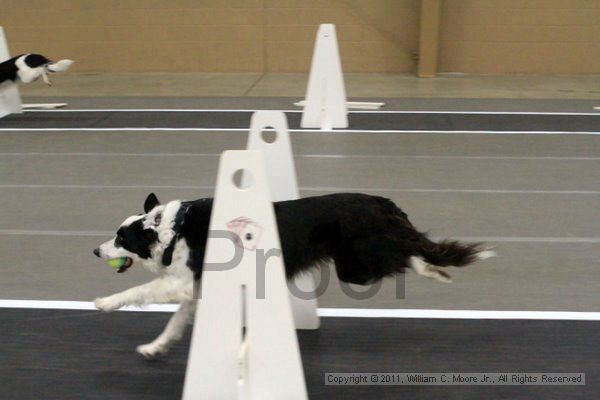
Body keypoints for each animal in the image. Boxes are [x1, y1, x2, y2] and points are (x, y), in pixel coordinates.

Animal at [94, 192, 494, 358]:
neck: (169, 230)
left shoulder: (179, 281)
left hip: (356, 267)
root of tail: (384, 204)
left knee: (404, 253)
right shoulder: (195, 288)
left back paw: (432, 269)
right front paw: (154, 347)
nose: (96, 251)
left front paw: (105, 302)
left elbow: (138, 292)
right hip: (356, 264)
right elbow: (173, 324)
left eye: (120, 238)